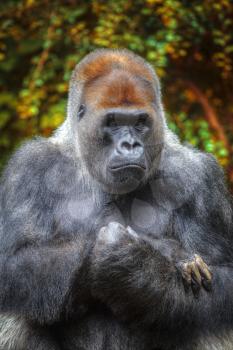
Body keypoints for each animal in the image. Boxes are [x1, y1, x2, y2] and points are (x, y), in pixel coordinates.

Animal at [0, 50, 233, 350]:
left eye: (140, 123)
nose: (129, 145)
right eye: (112, 122)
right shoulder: (27, 168)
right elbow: (11, 263)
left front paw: (136, 269)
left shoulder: (202, 178)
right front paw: (155, 251)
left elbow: (225, 282)